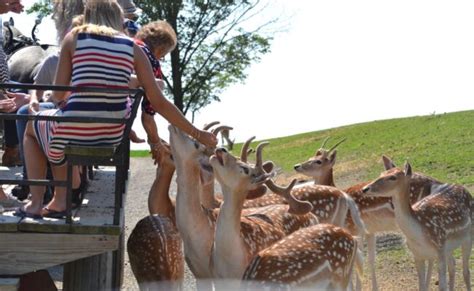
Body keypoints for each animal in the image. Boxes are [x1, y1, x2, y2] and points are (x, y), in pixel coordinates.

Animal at [362, 162, 470, 291]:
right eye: (381, 173)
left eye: (393, 177)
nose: (365, 189)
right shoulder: (417, 255)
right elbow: (421, 286)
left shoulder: (439, 249)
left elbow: (442, 286)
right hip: (449, 247)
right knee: (453, 266)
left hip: (468, 237)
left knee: (466, 272)